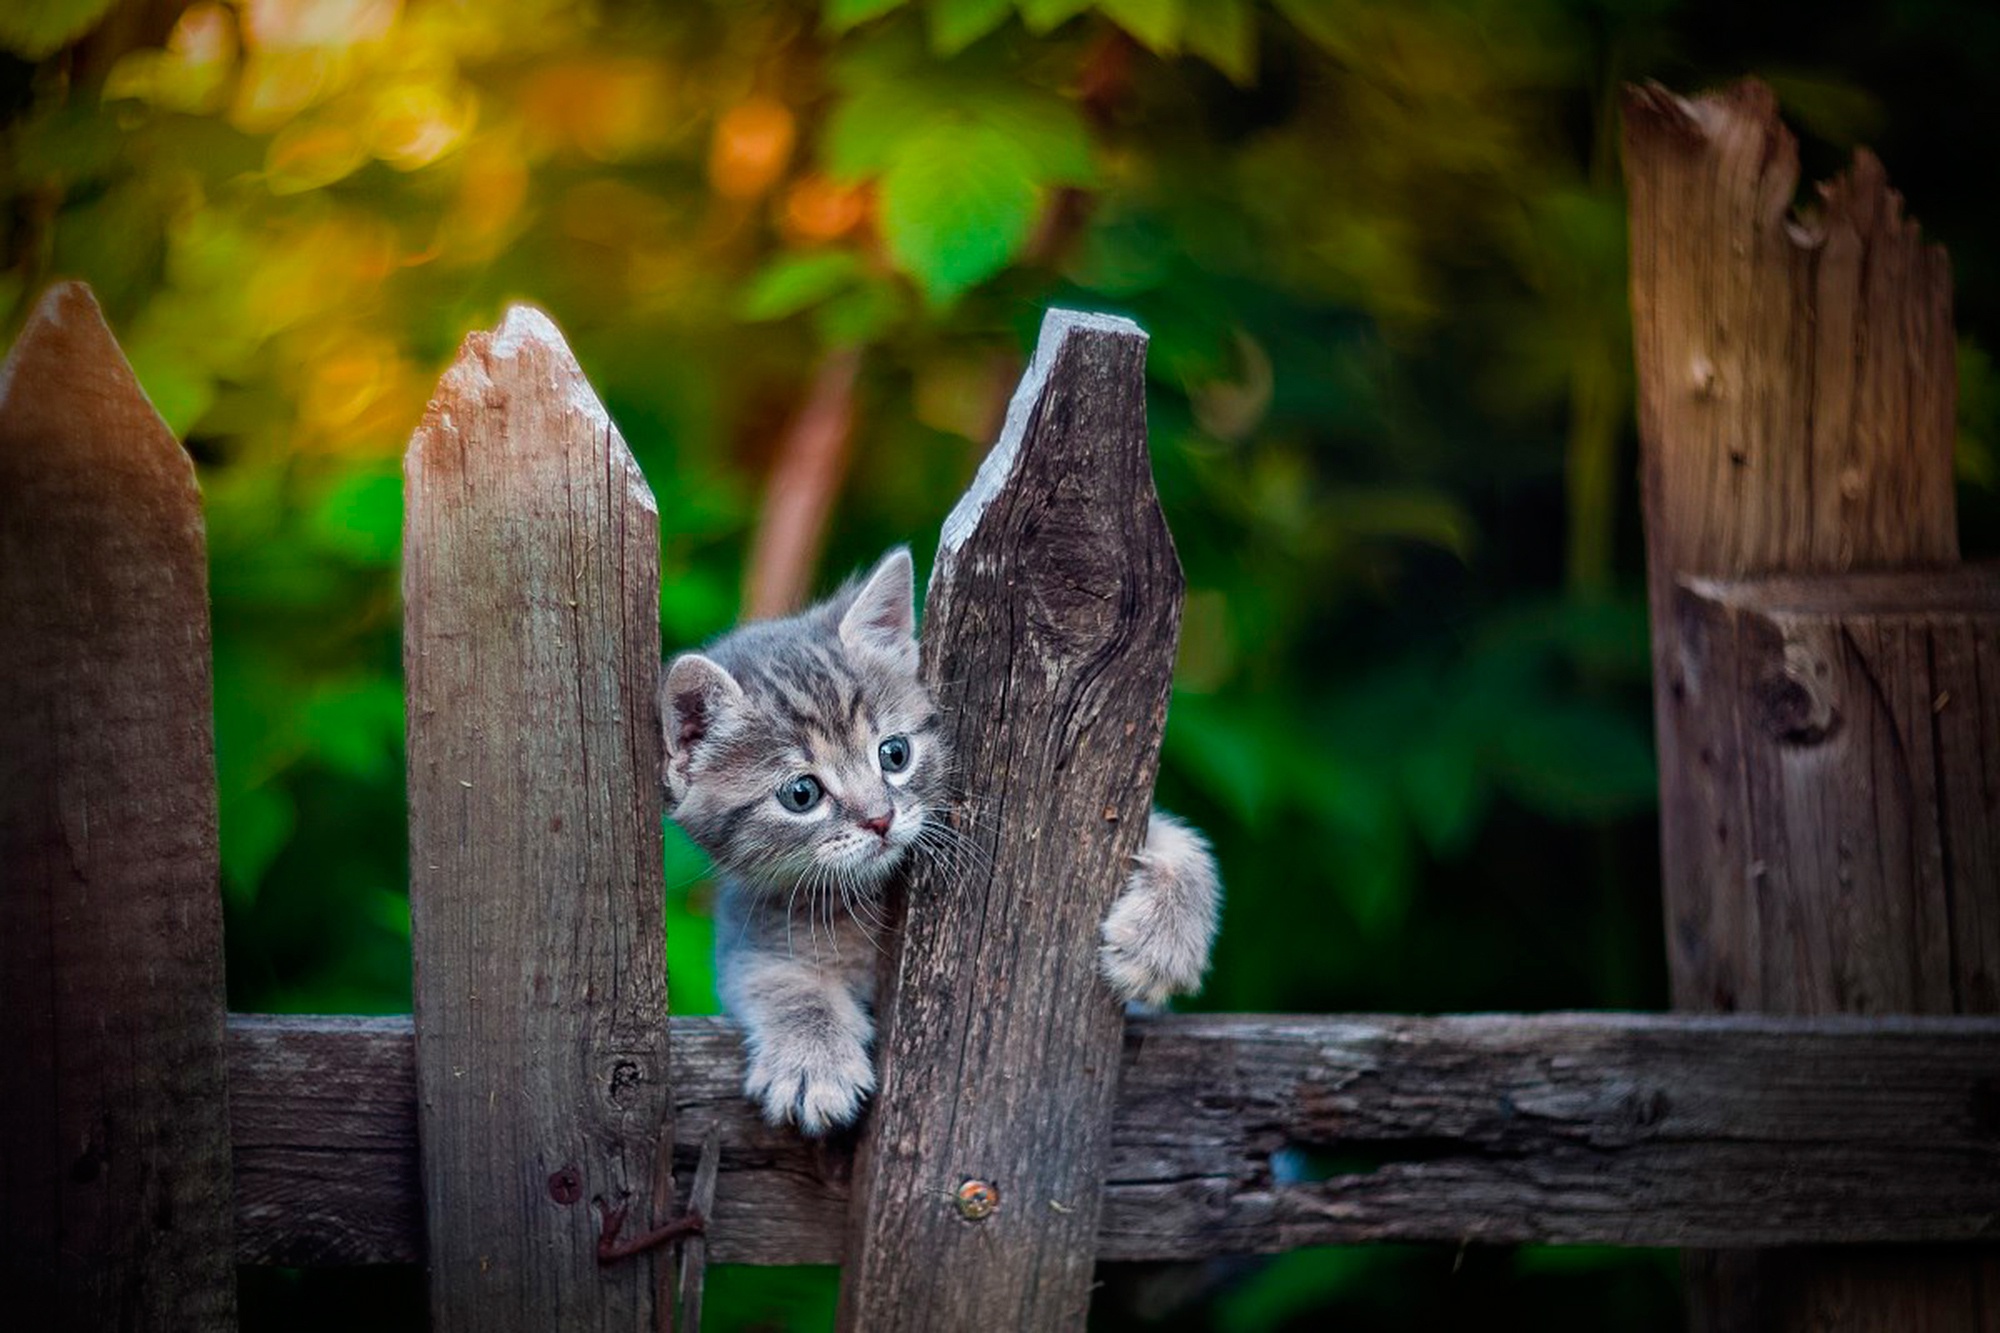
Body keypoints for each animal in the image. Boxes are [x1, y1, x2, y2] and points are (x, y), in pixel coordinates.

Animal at [660, 544, 1216, 1128]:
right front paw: (813, 1060)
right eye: (802, 794)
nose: (879, 817)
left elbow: (1178, 839)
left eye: (894, 753)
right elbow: (774, 976)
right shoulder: (750, 930)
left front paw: (1163, 941)